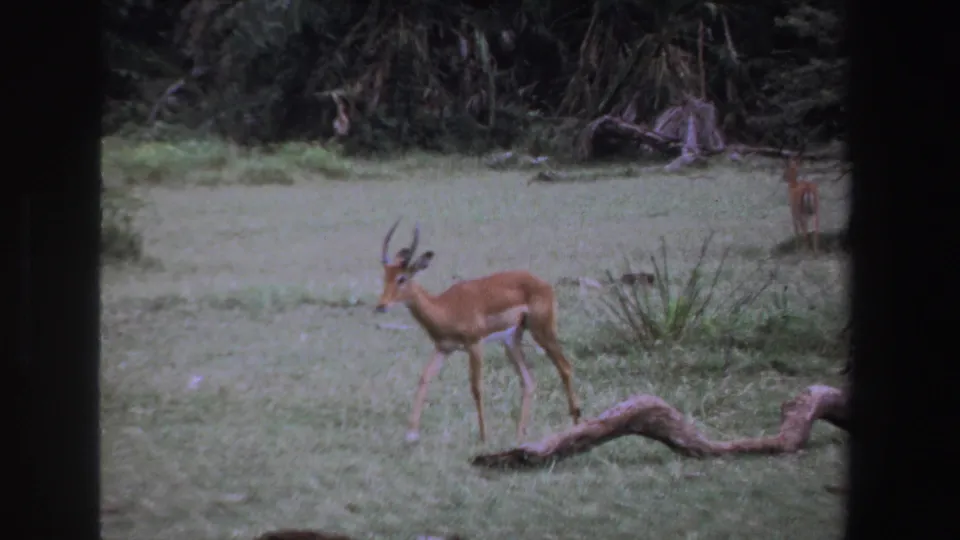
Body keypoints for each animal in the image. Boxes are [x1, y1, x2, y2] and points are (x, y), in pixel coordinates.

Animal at [374, 219, 582, 444]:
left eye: (402, 278)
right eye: (385, 276)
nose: (381, 306)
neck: (446, 307)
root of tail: (544, 284)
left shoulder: (474, 344)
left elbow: (476, 388)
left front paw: (483, 437)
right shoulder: (443, 348)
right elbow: (424, 378)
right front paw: (411, 434)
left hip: (542, 331)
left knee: (565, 367)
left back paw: (577, 424)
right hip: (511, 341)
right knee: (528, 381)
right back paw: (519, 436)